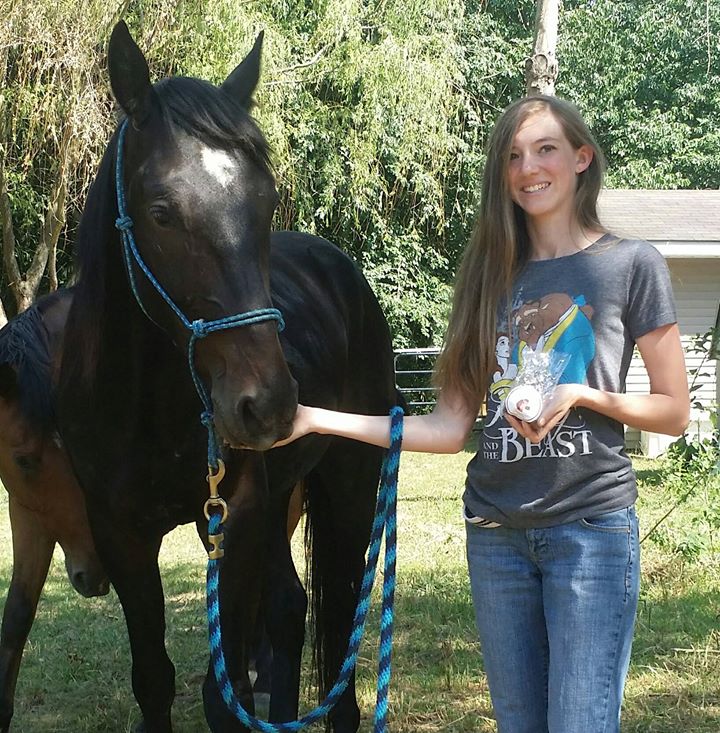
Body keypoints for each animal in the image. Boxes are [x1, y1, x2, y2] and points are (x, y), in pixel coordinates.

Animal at [55, 20, 396, 728]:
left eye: (266, 202)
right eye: (160, 212)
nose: (265, 404)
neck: (143, 410)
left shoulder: (235, 519)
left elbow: (225, 691)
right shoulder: (121, 534)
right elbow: (154, 679)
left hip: (347, 485)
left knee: (339, 620)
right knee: (291, 608)